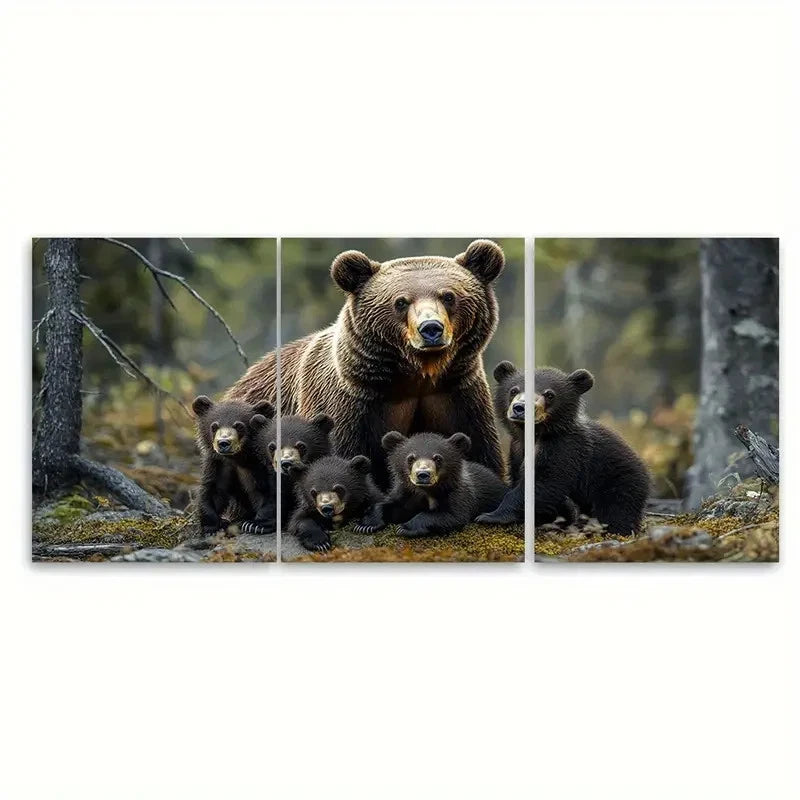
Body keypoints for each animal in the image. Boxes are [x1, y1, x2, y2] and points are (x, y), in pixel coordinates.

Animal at [192, 395, 277, 536]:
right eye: (214, 426)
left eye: (239, 426)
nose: (223, 443)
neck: (239, 458)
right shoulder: (220, 465)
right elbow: (213, 490)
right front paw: (212, 526)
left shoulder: (262, 465)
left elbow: (271, 492)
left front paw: (255, 524)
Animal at [224, 240, 506, 490]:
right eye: (400, 301)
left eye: (448, 296)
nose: (430, 328)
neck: (415, 377)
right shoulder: (349, 407)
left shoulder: (456, 396)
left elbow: (480, 454)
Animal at [356, 431, 508, 537]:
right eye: (410, 458)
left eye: (438, 458)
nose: (423, 474)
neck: (426, 491)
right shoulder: (407, 493)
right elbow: (394, 506)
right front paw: (365, 526)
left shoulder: (458, 494)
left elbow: (452, 516)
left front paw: (405, 528)